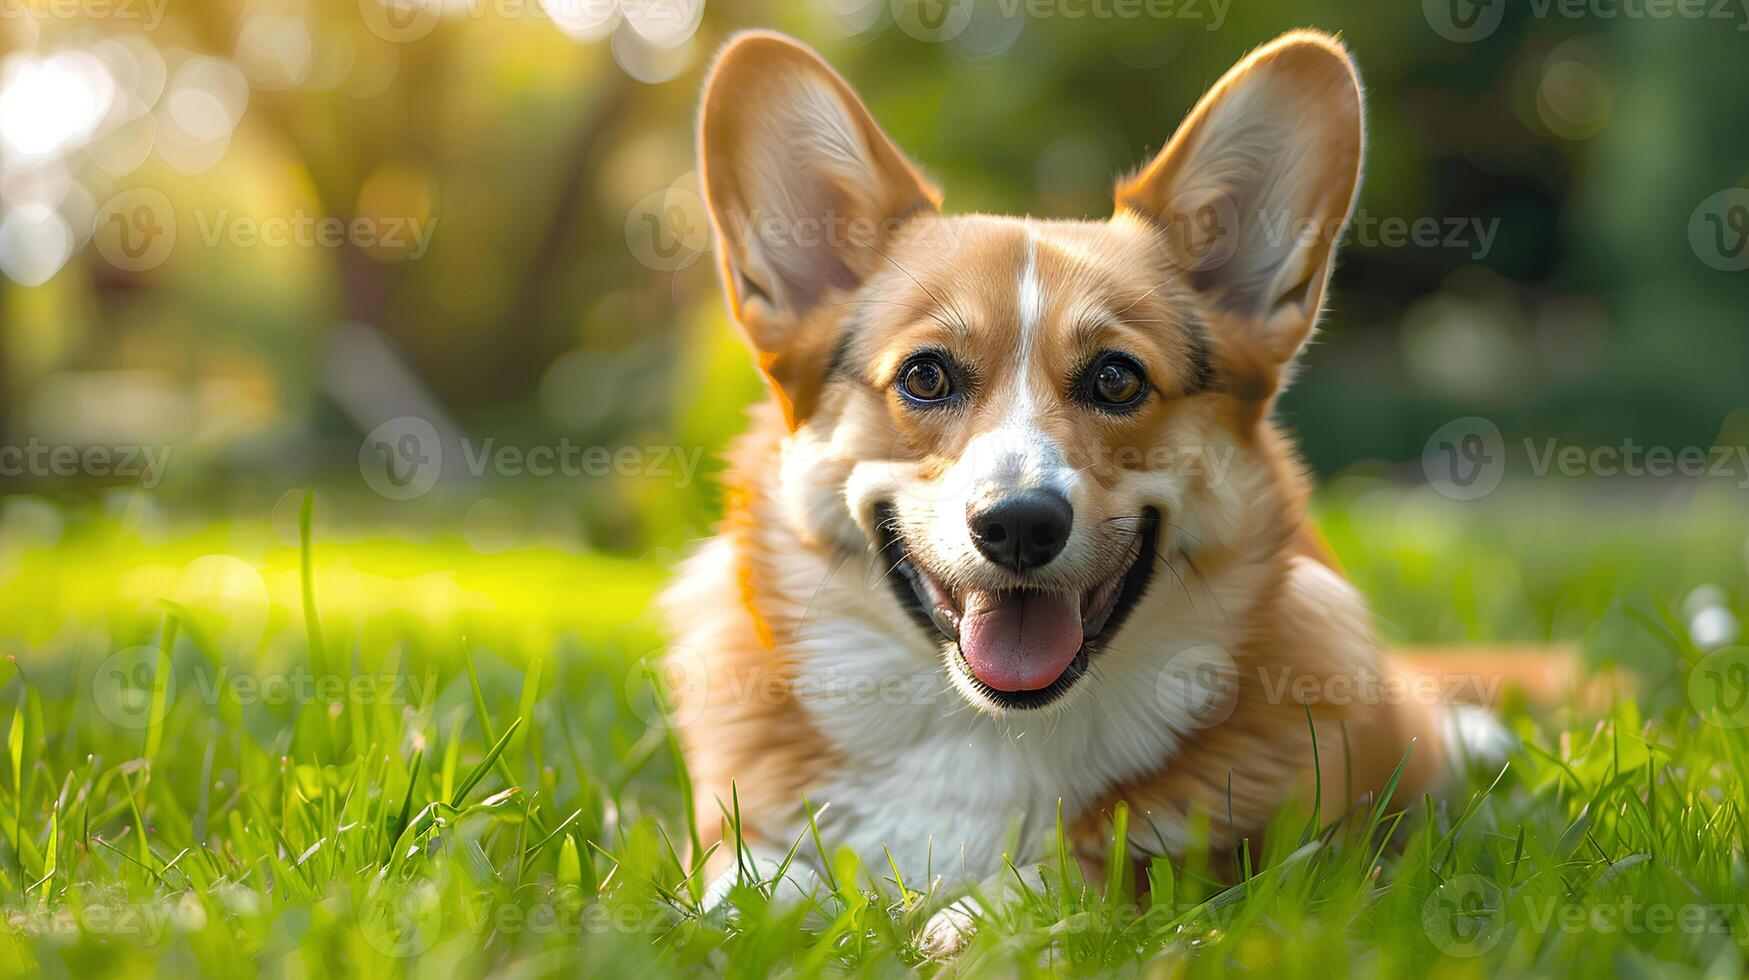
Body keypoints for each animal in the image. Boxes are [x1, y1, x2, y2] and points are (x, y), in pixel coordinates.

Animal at [661, 28, 1511, 952]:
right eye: (924, 376)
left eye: (1115, 379)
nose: (1019, 525)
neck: (990, 731)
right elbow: (745, 886)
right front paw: (740, 916)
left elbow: (1080, 876)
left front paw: (971, 926)